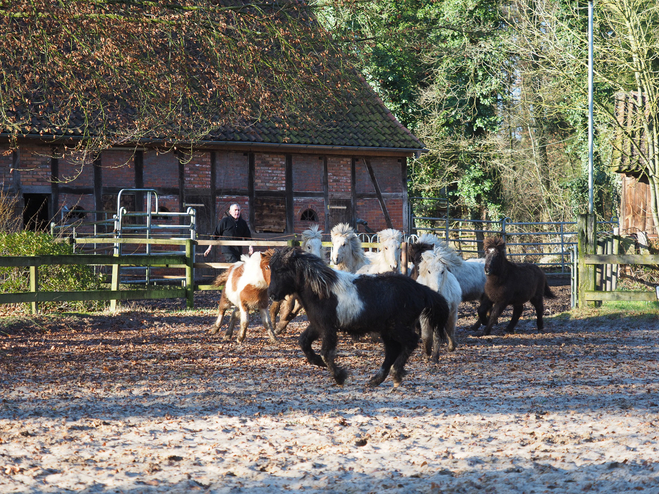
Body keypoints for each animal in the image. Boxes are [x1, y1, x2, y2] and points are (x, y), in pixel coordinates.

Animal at [268, 249, 454, 388]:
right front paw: (318, 362)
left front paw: (340, 377)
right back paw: (376, 380)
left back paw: (396, 375)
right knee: (392, 351)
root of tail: (420, 289)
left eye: (280, 270)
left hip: (397, 327)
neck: (322, 290)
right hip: (387, 330)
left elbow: (326, 353)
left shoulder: (328, 329)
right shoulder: (317, 326)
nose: (272, 294)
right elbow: (304, 343)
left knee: (410, 342)